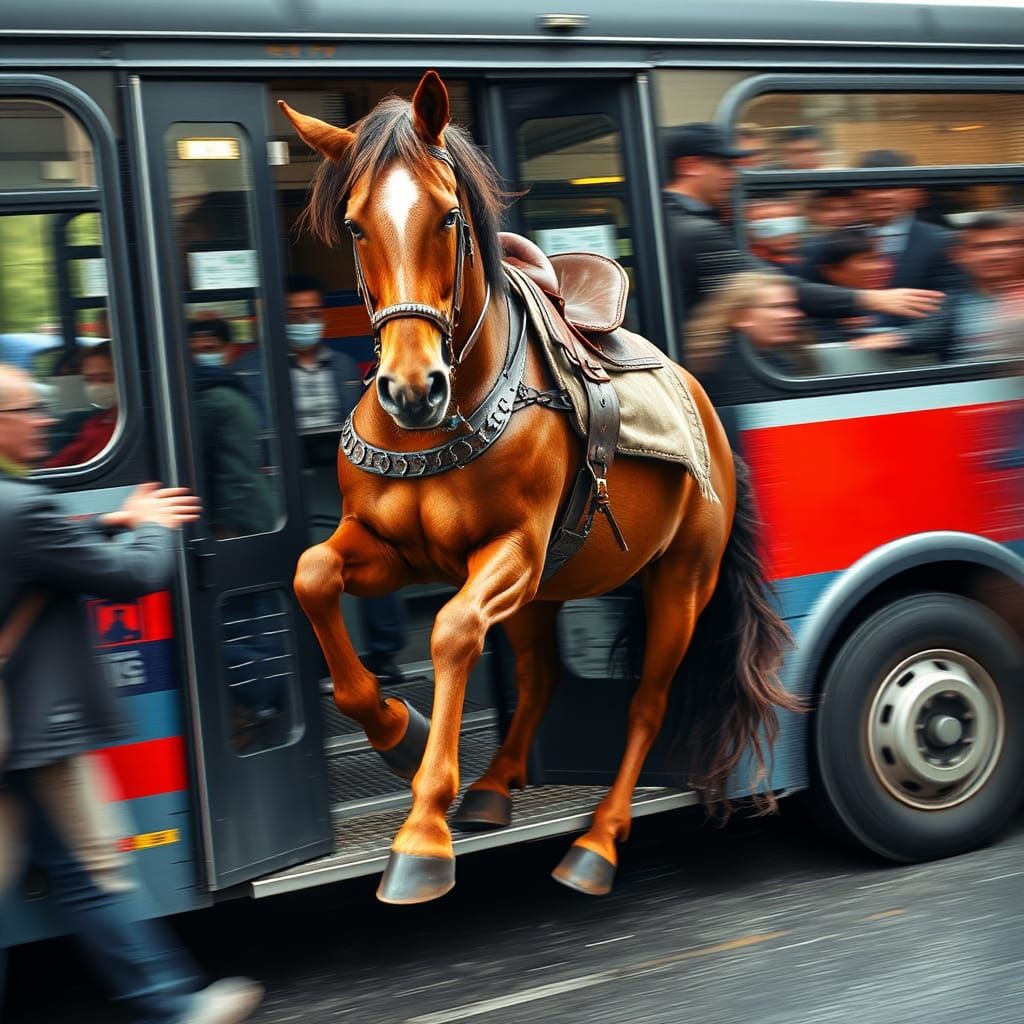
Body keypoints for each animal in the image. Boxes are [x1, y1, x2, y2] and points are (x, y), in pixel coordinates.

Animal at [280, 70, 799, 905]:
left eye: (448, 216)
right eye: (356, 226)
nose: (411, 389)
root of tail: (708, 405)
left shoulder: (513, 550)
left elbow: (452, 631)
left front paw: (422, 832)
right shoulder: (396, 549)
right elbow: (312, 574)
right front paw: (398, 732)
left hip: (681, 577)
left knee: (647, 702)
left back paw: (595, 844)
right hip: (552, 583)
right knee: (541, 672)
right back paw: (494, 788)